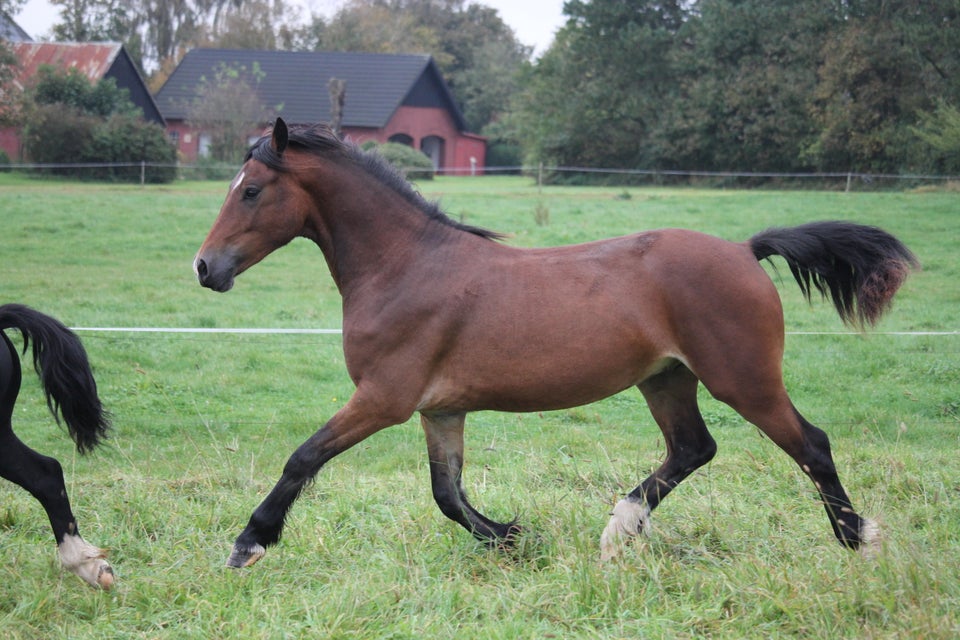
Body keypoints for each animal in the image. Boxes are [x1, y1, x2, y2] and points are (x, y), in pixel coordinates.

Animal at [193, 117, 916, 568]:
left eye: (251, 190)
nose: (205, 268)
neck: (405, 265)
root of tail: (744, 250)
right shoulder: (439, 409)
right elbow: (447, 493)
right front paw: (511, 537)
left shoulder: (383, 399)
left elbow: (303, 457)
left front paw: (249, 543)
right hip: (666, 378)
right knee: (693, 448)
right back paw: (619, 530)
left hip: (744, 378)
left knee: (811, 446)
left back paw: (860, 540)